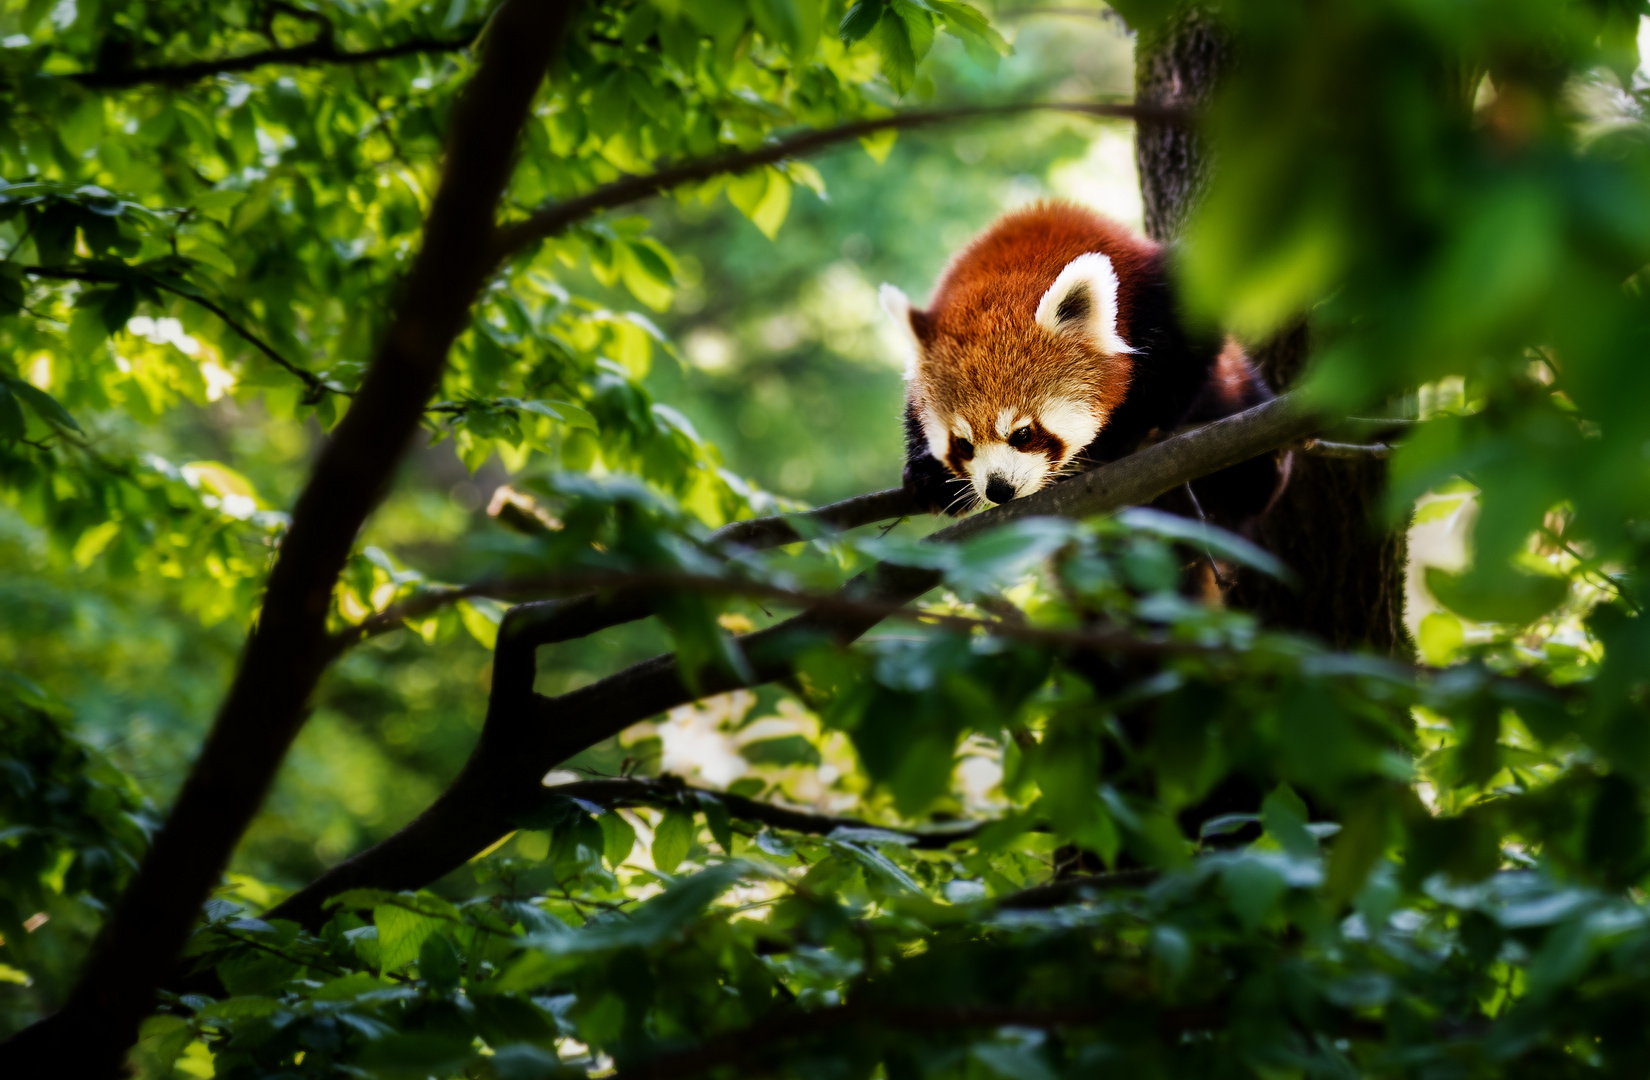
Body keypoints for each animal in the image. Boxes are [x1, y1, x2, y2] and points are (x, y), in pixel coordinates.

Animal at [884, 206, 1280, 524]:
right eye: (963, 443)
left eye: (1023, 433)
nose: (999, 489)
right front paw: (931, 476)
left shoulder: (1162, 295)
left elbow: (1178, 363)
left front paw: (1116, 438)